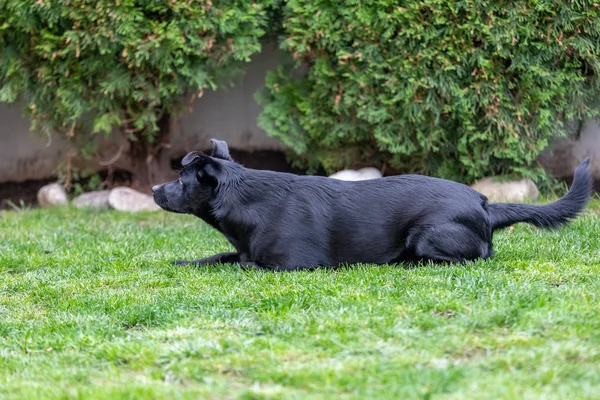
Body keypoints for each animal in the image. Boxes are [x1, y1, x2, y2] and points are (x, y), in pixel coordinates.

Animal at [152, 139, 592, 270]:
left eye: (181, 178)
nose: (155, 188)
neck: (248, 200)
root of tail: (485, 203)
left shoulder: (293, 266)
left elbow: (243, 264)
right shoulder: (240, 249)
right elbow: (220, 257)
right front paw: (185, 261)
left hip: (426, 234)